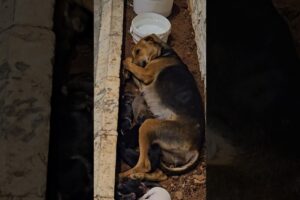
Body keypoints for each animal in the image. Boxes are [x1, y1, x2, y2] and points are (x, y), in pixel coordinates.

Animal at [120, 34, 205, 181]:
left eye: (138, 51)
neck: (163, 53)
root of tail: (196, 149)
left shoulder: (146, 74)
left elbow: (128, 61)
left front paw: (126, 64)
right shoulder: (142, 81)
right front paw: (126, 71)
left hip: (149, 125)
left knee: (145, 165)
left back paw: (123, 175)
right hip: (163, 151)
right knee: (160, 173)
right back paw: (137, 176)